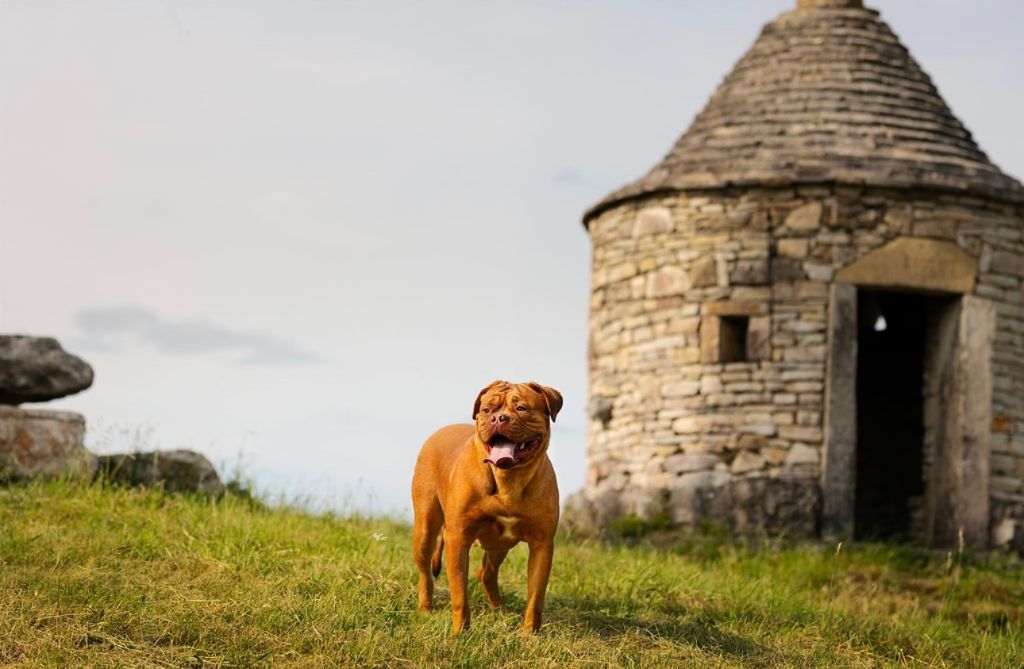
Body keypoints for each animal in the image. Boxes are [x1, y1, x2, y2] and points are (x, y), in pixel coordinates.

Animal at [411, 381, 565, 631]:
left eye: (521, 408)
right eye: (486, 410)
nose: (499, 418)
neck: (508, 479)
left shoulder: (542, 545)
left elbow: (535, 598)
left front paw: (529, 634)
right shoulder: (458, 538)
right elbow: (459, 594)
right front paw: (460, 632)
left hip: (500, 543)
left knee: (487, 573)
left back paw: (500, 611)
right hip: (425, 528)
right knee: (425, 572)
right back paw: (425, 608)